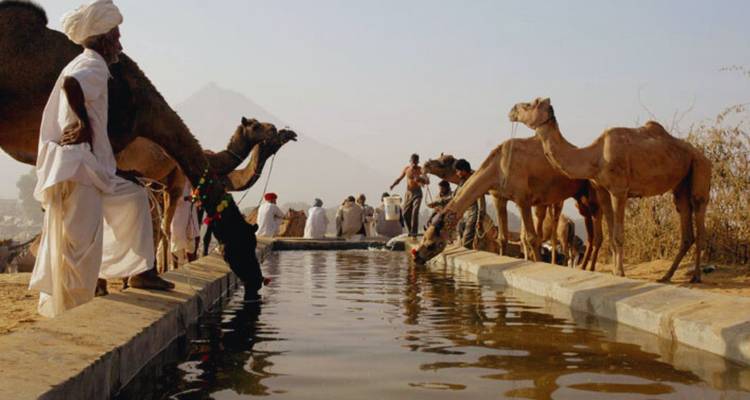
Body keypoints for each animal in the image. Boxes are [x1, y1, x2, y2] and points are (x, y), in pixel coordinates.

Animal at [0, 2, 297, 290]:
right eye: (246, 240)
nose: (284, 131)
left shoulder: (153, 179)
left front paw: (140, 277)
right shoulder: (166, 178)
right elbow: (164, 229)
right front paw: (138, 277)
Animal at [413, 138, 602, 267]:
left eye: (431, 244)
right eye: (425, 237)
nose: (416, 256)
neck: (497, 167)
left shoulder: (523, 199)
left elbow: (531, 238)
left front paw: (537, 262)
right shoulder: (499, 198)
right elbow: (503, 238)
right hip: (578, 195)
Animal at [509, 97, 711, 282]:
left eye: (529, 104)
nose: (511, 110)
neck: (596, 156)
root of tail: (701, 154)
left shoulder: (619, 190)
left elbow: (618, 235)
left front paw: (620, 272)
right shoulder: (603, 191)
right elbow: (611, 236)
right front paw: (615, 271)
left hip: (700, 167)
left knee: (700, 214)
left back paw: (696, 276)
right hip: (681, 184)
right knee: (685, 223)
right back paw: (666, 276)